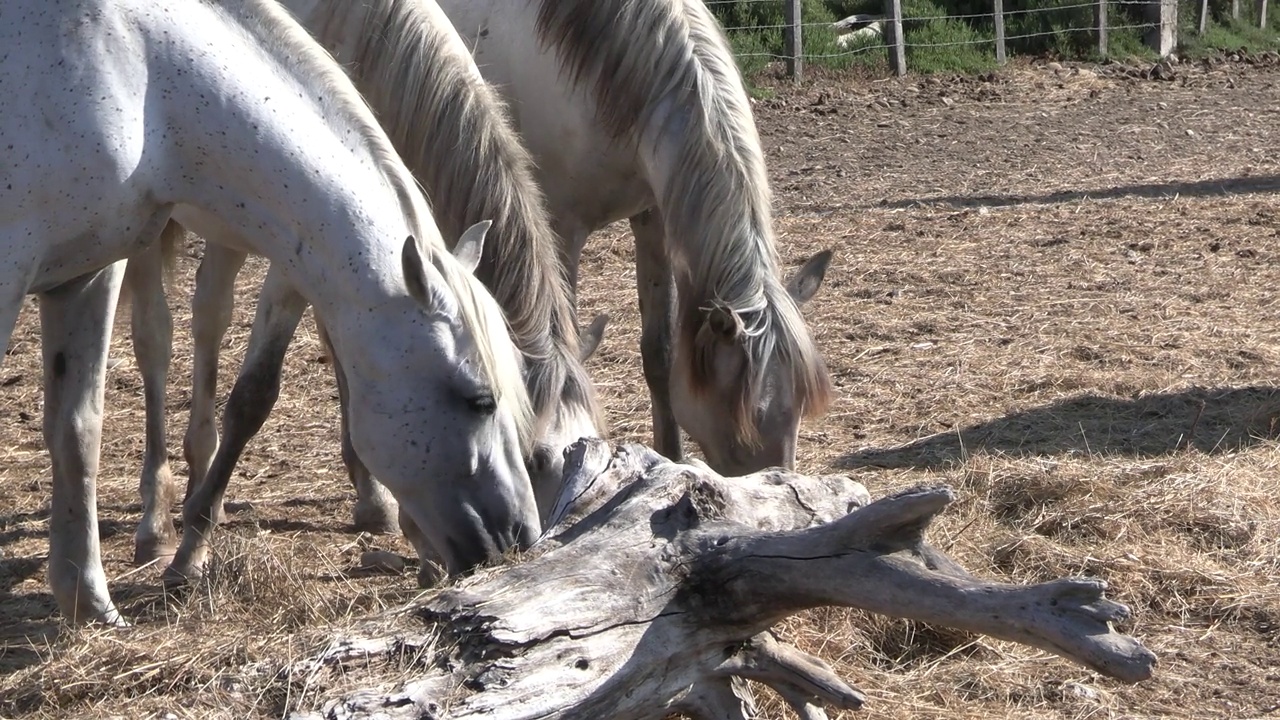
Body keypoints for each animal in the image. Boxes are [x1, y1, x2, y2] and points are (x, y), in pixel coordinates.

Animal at [0, 0, 540, 620]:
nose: (523, 535)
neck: (133, 70)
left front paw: (88, 600)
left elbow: (77, 431)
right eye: (480, 401)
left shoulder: (83, 274)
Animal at [122, 0, 606, 566]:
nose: (526, 539)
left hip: (226, 232)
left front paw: (388, 512)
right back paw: (158, 518)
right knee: (155, 337)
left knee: (210, 313)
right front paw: (193, 543)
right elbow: (255, 392)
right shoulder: (302, 256)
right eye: (539, 457)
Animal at [437, 0, 839, 476]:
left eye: (797, 411)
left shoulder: (654, 219)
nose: (776, 484)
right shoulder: (561, 231)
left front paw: (671, 458)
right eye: (743, 420)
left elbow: (660, 353)